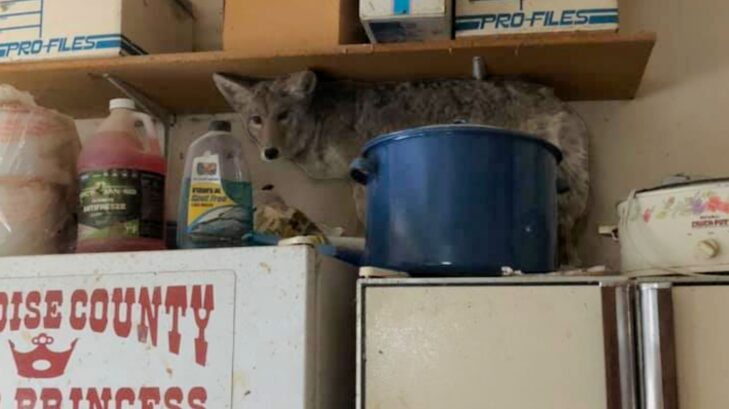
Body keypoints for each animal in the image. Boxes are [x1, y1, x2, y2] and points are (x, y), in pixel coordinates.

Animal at [214, 71, 590, 267]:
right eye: (256, 120)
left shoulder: (357, 178)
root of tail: (555, 97)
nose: (269, 151)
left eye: (283, 116)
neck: (319, 122)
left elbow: (364, 221)